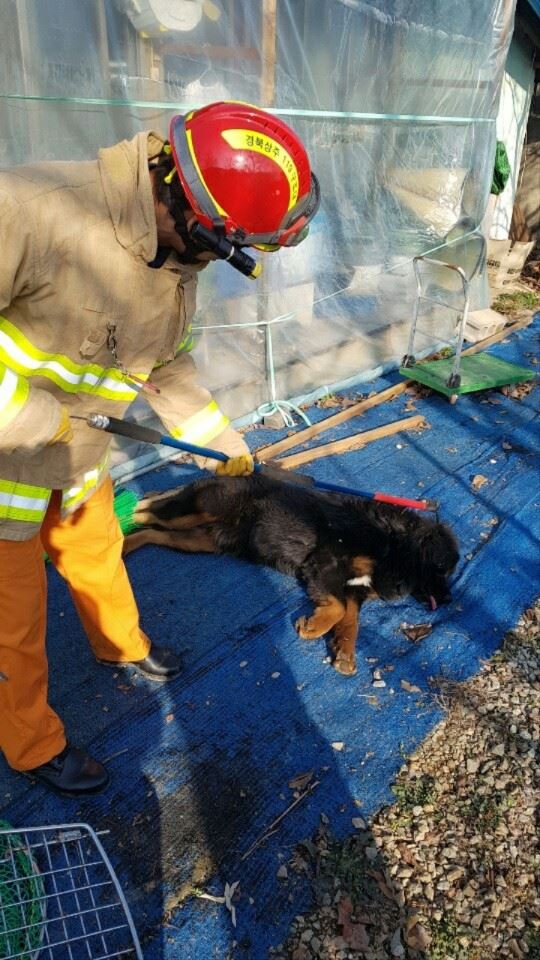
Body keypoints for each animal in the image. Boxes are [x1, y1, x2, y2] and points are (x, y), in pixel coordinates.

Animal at [123, 474, 460, 676]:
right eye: (441, 568)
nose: (448, 599)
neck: (390, 541)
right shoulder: (326, 562)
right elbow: (338, 610)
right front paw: (314, 627)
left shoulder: (353, 587)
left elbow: (350, 621)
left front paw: (344, 652)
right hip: (199, 512)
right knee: (150, 513)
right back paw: (123, 516)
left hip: (199, 540)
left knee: (153, 532)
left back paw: (126, 543)